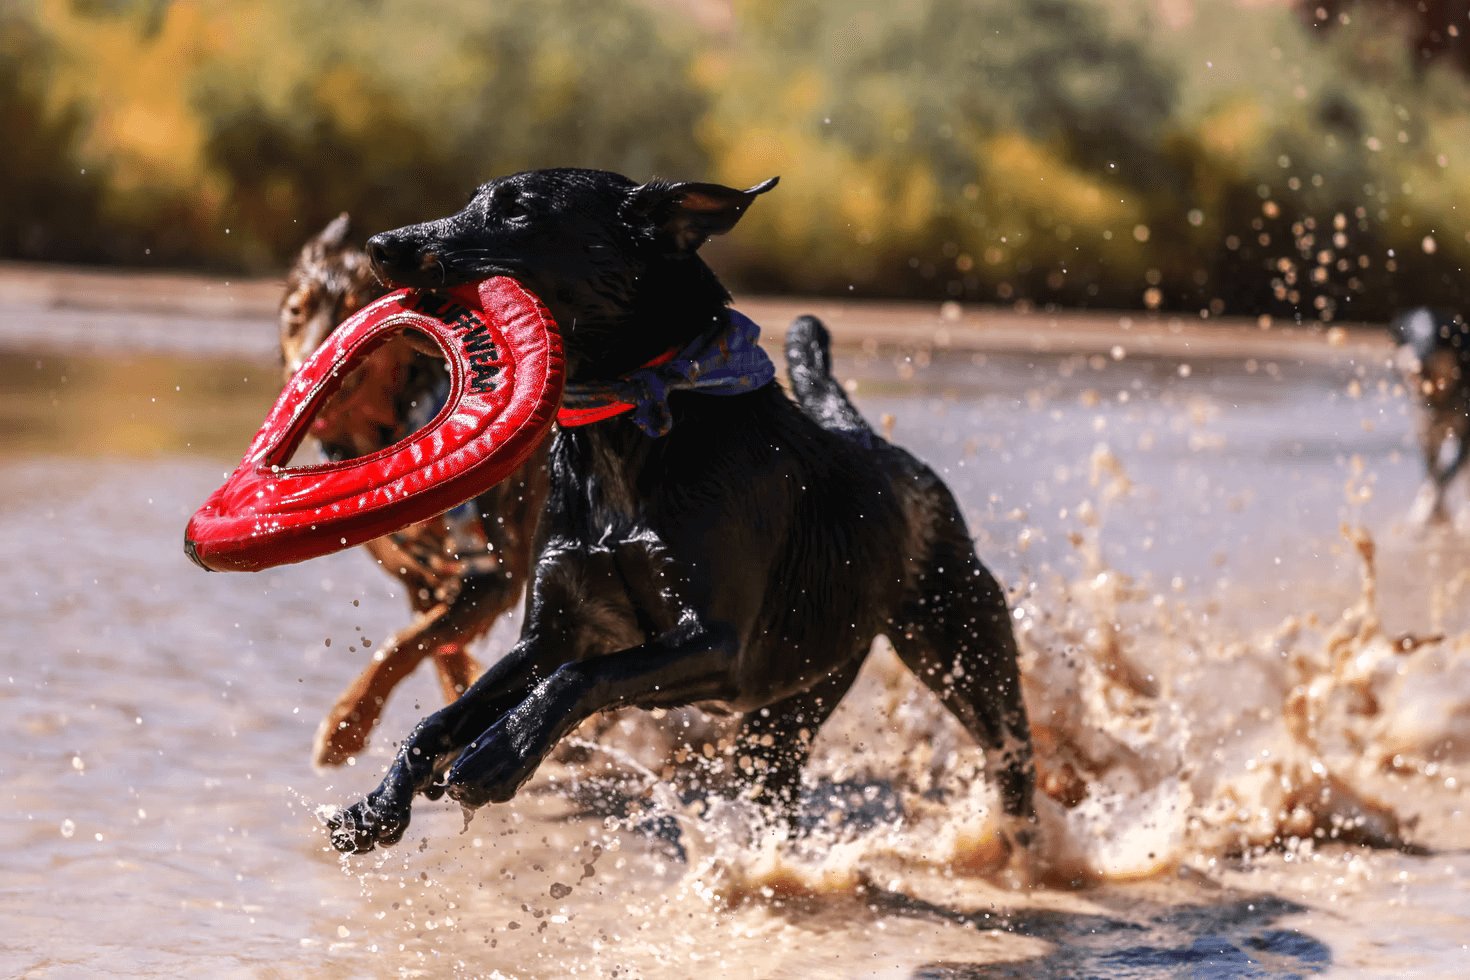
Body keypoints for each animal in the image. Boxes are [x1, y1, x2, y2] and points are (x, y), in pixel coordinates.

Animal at [277, 213, 549, 764]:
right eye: (297, 311)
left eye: (355, 310)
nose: (303, 375)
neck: (401, 421)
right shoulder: (418, 580)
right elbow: (436, 650)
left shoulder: (496, 573)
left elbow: (405, 644)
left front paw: (345, 727)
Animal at [324, 168, 1034, 858]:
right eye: (473, 199)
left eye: (517, 209)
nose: (380, 246)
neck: (626, 430)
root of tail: (877, 445)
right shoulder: (551, 631)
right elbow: (445, 715)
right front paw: (378, 805)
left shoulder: (714, 644)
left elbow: (582, 677)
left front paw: (500, 754)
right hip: (794, 704)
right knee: (775, 789)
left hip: (966, 652)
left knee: (1011, 758)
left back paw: (1023, 852)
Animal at [1387, 308, 1470, 525]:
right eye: (1410, 337)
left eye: (1434, 341)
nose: (1419, 365)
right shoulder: (1426, 435)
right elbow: (1433, 475)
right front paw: (1434, 515)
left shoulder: (1466, 439)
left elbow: (1443, 477)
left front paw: (1427, 512)